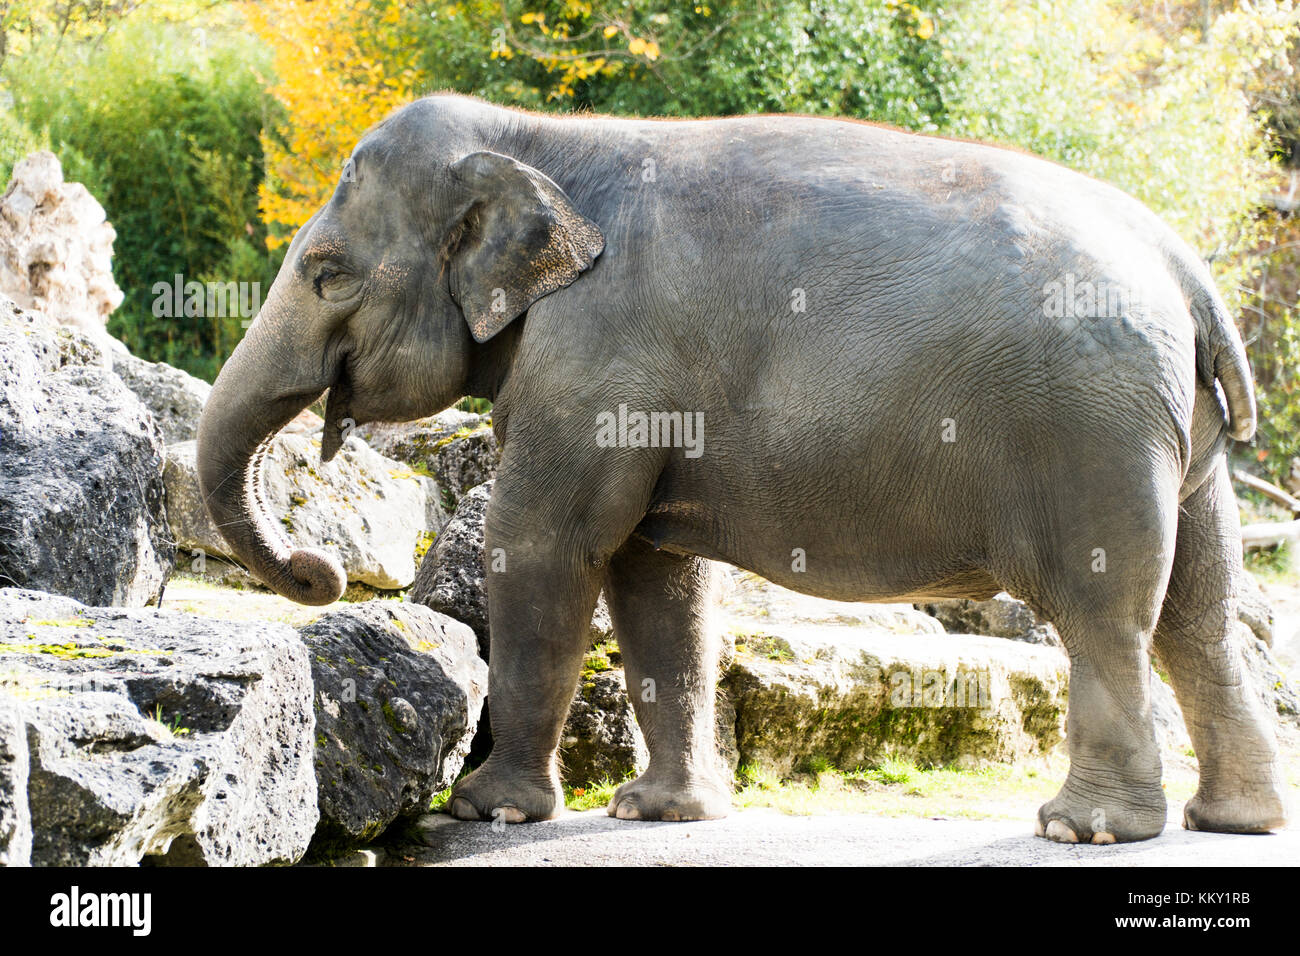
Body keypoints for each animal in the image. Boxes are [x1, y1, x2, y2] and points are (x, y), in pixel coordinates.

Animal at [200, 93, 1289, 842]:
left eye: (326, 275)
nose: (319, 570)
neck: (538, 138)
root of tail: (1183, 263)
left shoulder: (596, 358)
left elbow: (540, 544)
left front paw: (488, 811)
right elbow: (654, 577)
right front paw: (657, 811)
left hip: (1087, 428)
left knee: (1106, 610)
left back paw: (1083, 828)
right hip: (1170, 435)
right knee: (1200, 612)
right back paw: (1233, 822)